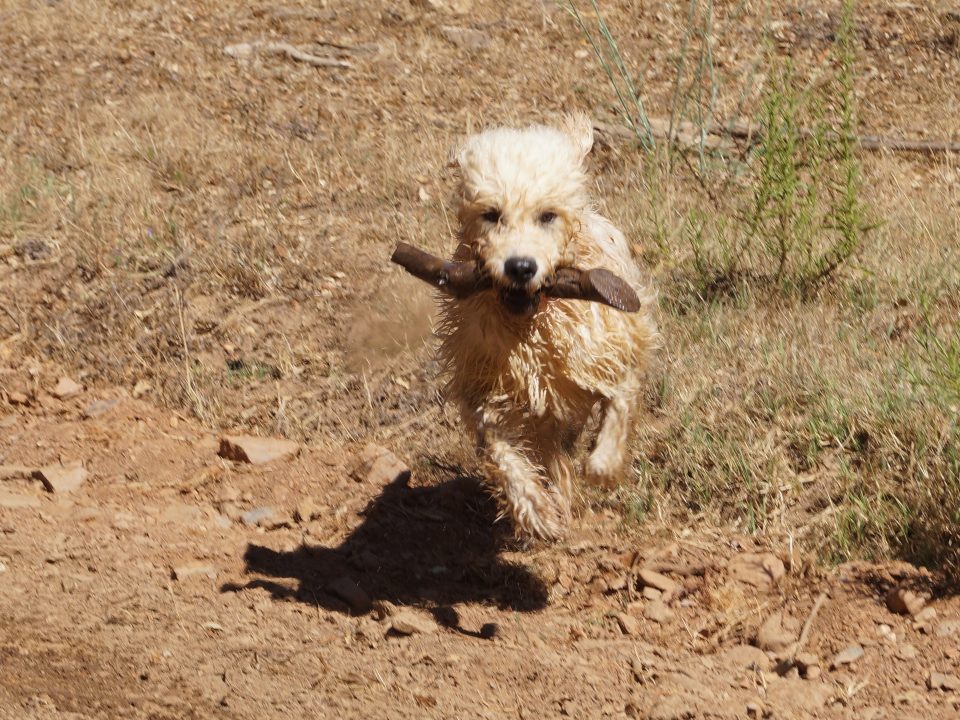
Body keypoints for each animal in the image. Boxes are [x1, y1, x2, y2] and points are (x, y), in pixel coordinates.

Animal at [436, 114, 656, 540]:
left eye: (548, 215)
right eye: (491, 214)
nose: (520, 267)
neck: (532, 326)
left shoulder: (613, 348)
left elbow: (621, 400)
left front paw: (603, 463)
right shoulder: (488, 386)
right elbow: (501, 450)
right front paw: (536, 510)